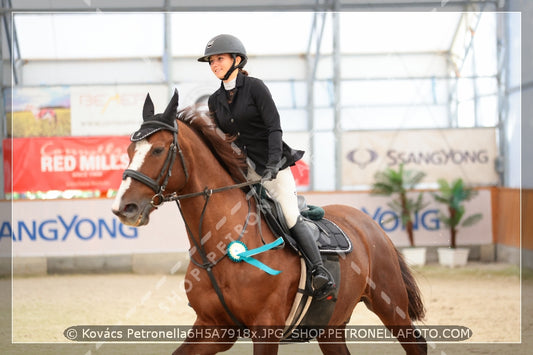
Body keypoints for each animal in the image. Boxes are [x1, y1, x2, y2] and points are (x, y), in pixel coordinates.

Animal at [111, 90, 424, 354]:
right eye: (129, 151)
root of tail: (369, 224)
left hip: (390, 305)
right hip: (330, 327)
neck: (221, 246)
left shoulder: (266, 330)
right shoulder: (213, 328)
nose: (123, 208)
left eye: (158, 150)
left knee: (416, 344)